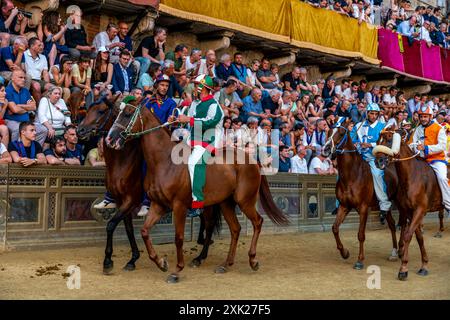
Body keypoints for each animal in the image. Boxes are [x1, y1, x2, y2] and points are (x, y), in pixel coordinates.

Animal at [105, 99, 288, 282]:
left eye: (127, 113)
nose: (110, 138)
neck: (165, 161)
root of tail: (253, 160)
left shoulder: (179, 206)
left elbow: (178, 238)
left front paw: (177, 270)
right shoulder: (158, 205)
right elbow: (144, 231)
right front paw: (161, 262)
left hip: (245, 201)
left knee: (257, 222)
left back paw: (252, 260)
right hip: (226, 203)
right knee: (235, 229)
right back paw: (225, 264)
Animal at [320, 117, 400, 270]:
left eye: (341, 133)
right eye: (328, 131)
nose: (326, 149)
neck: (352, 175)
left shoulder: (363, 208)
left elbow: (361, 234)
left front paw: (360, 260)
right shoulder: (344, 206)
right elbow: (335, 228)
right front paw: (345, 252)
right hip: (386, 208)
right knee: (392, 225)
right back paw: (394, 253)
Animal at [372, 127, 446, 280]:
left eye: (389, 140)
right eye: (377, 141)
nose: (378, 161)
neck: (412, 176)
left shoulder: (420, 210)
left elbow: (407, 235)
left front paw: (403, 268)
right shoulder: (410, 211)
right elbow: (418, 237)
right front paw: (424, 265)